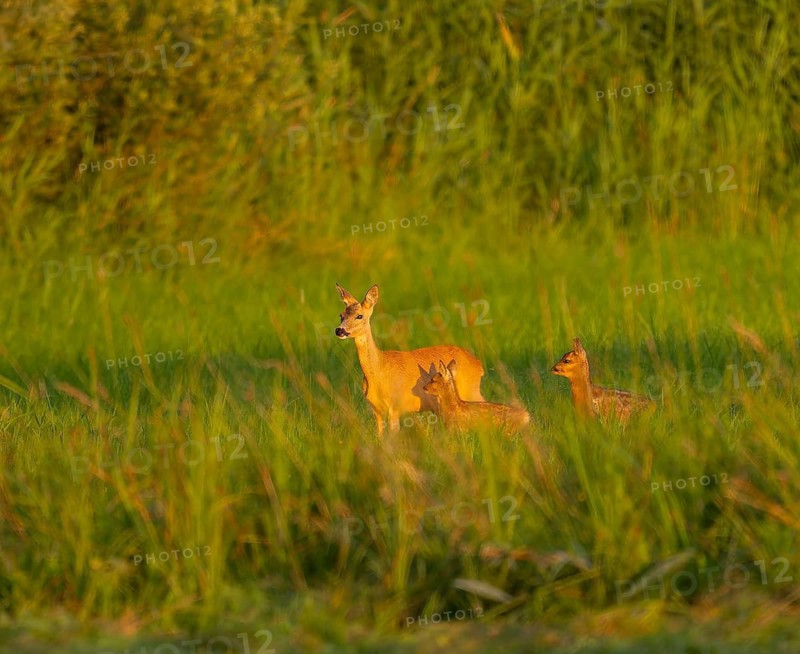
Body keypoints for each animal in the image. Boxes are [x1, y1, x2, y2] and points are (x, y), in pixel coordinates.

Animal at [335, 283, 485, 435]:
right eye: (341, 315)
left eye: (359, 316)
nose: (339, 330)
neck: (379, 369)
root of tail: (478, 364)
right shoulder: (376, 409)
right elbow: (380, 436)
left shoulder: (395, 406)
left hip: (470, 391)